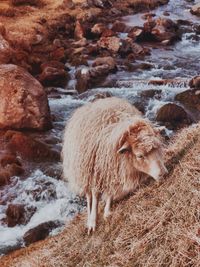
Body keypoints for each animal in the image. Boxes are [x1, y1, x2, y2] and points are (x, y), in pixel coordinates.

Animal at [62, 97, 167, 233]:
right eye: (139, 156)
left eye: (158, 147)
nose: (163, 173)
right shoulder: (95, 172)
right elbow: (95, 196)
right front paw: (93, 222)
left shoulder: (112, 170)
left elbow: (111, 191)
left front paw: (107, 212)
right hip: (83, 172)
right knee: (89, 196)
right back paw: (89, 217)